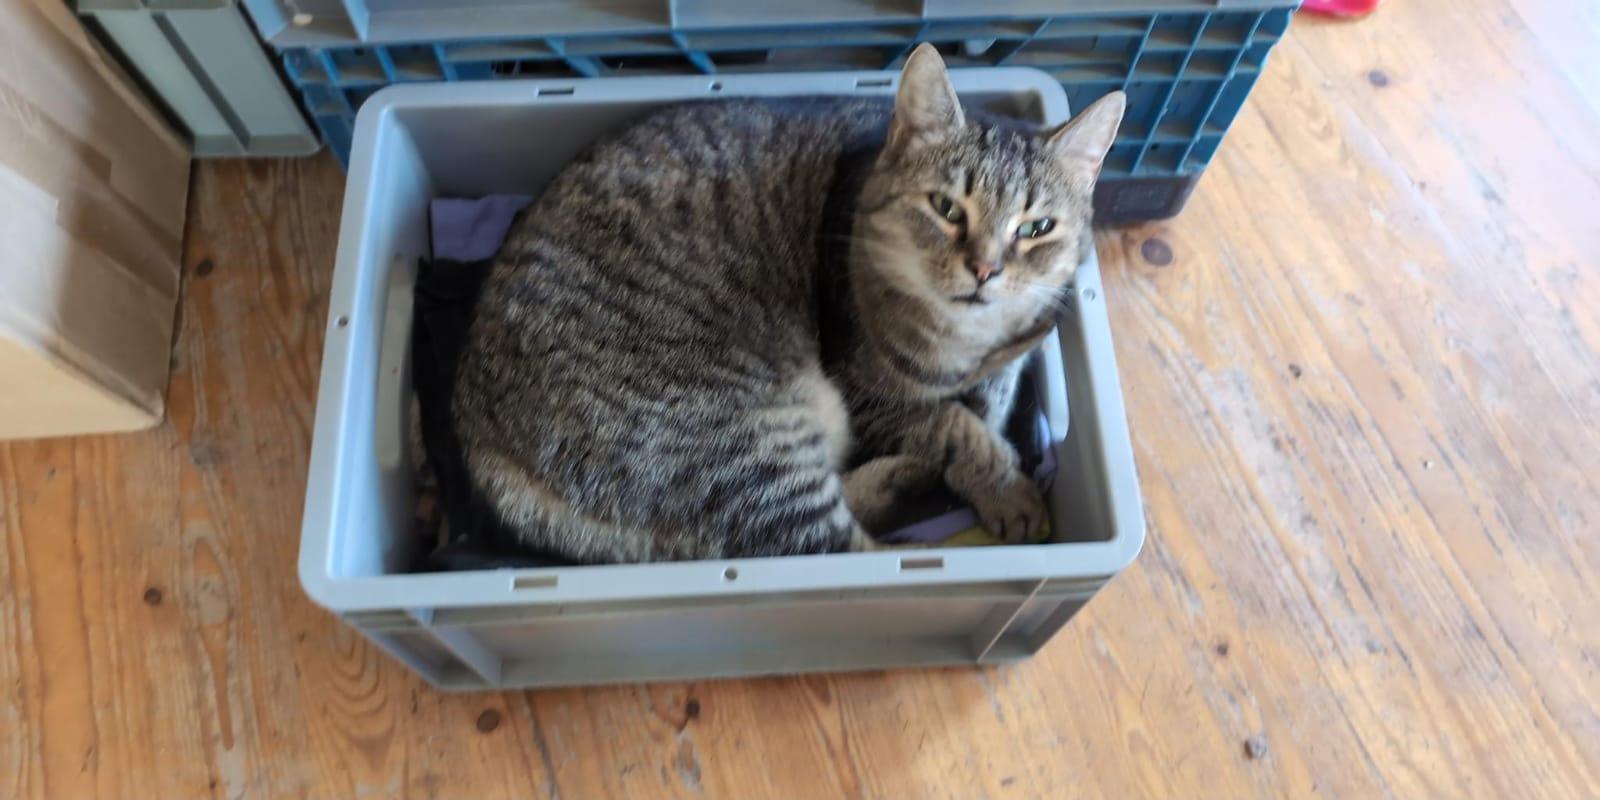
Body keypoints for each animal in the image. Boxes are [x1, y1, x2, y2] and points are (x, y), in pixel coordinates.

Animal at [452, 44, 1124, 563]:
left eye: (1036, 229)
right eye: (946, 208)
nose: (985, 269)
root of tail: (481, 439)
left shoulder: (1008, 357)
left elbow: (990, 399)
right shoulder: (868, 396)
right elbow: (954, 426)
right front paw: (1006, 486)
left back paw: (902, 475)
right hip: (745, 441)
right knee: (841, 551)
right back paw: (911, 487)